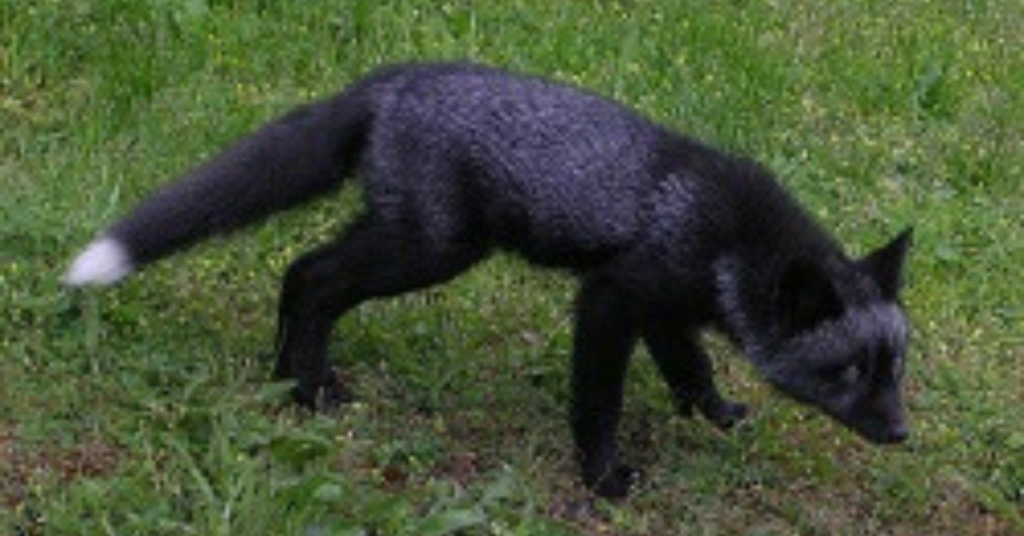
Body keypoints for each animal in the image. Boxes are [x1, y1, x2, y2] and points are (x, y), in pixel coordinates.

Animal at [65, 62, 913, 498]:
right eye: (846, 372)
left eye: (896, 367)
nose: (903, 433)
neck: (729, 233)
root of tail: (390, 80)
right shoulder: (611, 299)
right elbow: (597, 402)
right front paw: (604, 477)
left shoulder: (665, 304)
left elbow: (691, 366)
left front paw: (716, 413)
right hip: (432, 249)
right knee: (309, 276)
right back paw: (306, 390)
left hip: (408, 237)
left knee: (301, 271)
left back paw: (294, 382)